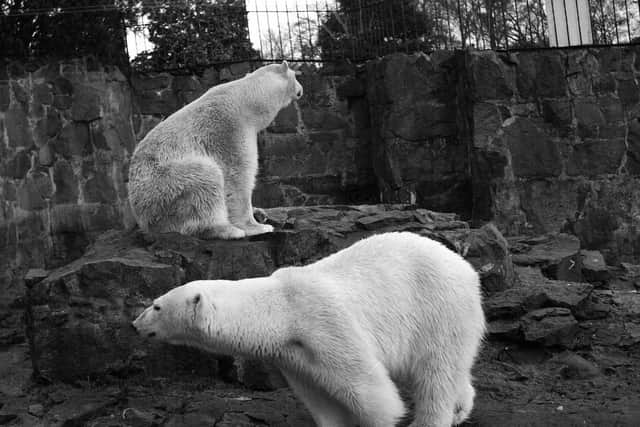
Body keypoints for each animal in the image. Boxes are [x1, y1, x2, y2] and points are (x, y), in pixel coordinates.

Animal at [127, 61, 303, 240]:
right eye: (295, 76)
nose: (301, 90)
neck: (246, 99)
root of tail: (143, 220)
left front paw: (259, 216)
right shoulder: (228, 128)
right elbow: (237, 175)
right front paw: (258, 227)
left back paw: (259, 213)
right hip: (163, 185)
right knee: (204, 178)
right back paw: (227, 229)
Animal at [132, 232, 486, 427]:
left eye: (157, 305)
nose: (135, 324)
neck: (282, 308)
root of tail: (467, 270)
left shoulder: (325, 322)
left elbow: (368, 386)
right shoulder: (291, 354)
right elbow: (318, 394)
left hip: (437, 308)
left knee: (435, 371)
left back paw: (431, 420)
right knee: (450, 369)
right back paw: (460, 409)